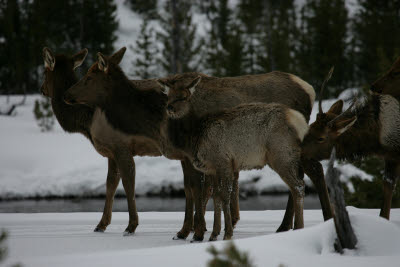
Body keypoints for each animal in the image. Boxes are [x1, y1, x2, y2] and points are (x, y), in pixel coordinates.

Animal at [158, 76, 308, 241]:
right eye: (168, 96)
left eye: (184, 97)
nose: (170, 107)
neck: (194, 137)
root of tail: (299, 121)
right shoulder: (212, 169)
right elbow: (216, 197)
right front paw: (214, 234)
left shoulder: (224, 162)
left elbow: (225, 196)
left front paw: (227, 234)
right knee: (296, 186)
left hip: (281, 154)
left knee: (298, 186)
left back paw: (299, 227)